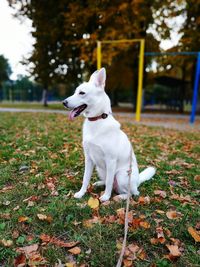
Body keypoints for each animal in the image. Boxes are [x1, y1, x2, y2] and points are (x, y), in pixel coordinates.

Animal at [63, 68, 156, 202]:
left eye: (82, 93)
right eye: (76, 92)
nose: (63, 102)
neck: (97, 120)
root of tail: (138, 181)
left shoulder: (111, 160)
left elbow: (109, 182)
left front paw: (106, 197)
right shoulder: (89, 159)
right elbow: (85, 179)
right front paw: (81, 193)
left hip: (121, 175)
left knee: (131, 193)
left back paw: (120, 196)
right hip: (100, 168)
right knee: (109, 182)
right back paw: (99, 183)